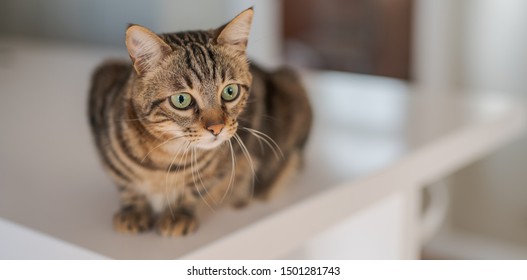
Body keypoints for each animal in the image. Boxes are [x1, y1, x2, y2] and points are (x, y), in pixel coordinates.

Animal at [87, 8, 312, 236]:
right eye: (181, 99)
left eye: (230, 91)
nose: (217, 128)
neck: (164, 158)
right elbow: (126, 185)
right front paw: (133, 210)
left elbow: (195, 188)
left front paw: (178, 214)